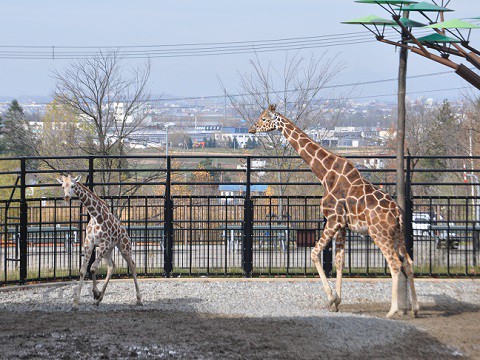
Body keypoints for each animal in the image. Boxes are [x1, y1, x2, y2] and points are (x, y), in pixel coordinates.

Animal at [57, 174, 142, 310]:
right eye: (62, 186)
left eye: (73, 186)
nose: (66, 197)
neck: (95, 216)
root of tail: (125, 232)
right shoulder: (89, 243)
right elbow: (83, 270)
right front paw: (76, 302)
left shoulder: (104, 243)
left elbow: (92, 268)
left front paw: (95, 293)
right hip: (109, 250)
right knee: (111, 267)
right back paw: (99, 300)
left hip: (124, 247)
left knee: (132, 265)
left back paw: (139, 299)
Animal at [249, 104, 418, 318]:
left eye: (264, 118)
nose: (251, 128)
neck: (325, 173)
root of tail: (397, 212)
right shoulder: (343, 225)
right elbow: (340, 261)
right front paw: (337, 301)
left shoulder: (333, 219)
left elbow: (314, 253)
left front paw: (331, 297)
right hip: (397, 234)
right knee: (408, 262)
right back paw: (415, 308)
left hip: (379, 233)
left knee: (395, 264)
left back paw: (392, 310)